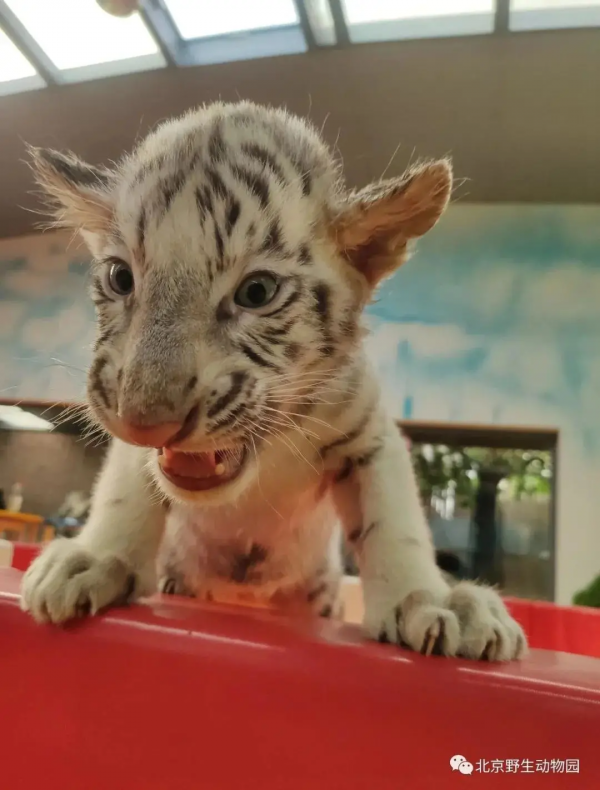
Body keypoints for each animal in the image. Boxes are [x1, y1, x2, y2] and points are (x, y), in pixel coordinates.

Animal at [21, 101, 526, 661]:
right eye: (120, 278)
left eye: (257, 292)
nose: (144, 422)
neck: (268, 452)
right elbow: (123, 492)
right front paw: (93, 560)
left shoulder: (370, 436)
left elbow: (394, 520)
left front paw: (432, 600)